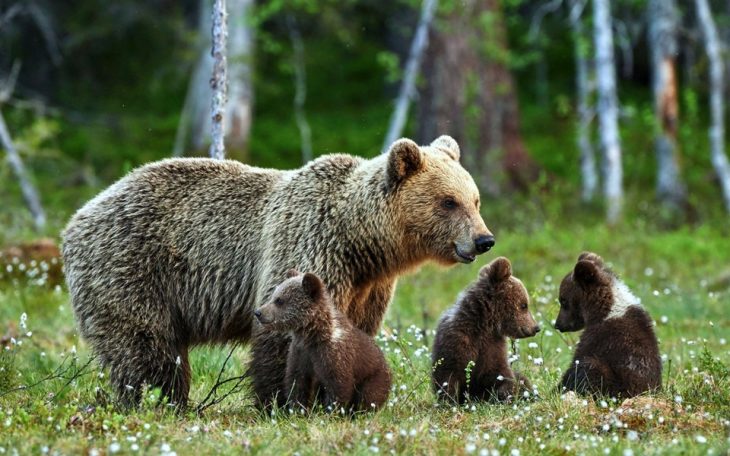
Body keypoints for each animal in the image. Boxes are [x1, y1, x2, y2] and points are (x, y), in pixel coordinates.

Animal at [256, 270, 392, 414]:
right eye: (274, 296)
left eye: (279, 300)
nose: (258, 312)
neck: (313, 335)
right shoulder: (300, 353)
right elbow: (297, 382)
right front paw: (298, 410)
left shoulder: (333, 355)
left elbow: (338, 386)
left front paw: (331, 412)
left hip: (374, 377)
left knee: (368, 396)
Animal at [430, 256, 536, 402]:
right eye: (524, 305)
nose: (536, 327)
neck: (484, 325)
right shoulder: (457, 341)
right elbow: (448, 375)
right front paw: (449, 400)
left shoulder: (493, 347)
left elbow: (502, 374)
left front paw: (507, 394)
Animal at [556, 253, 664, 400]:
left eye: (563, 301)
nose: (557, 324)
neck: (605, 310)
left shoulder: (601, 338)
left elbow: (577, 361)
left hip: (616, 384)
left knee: (590, 367)